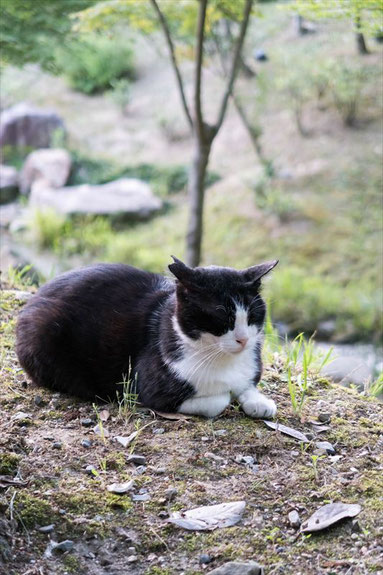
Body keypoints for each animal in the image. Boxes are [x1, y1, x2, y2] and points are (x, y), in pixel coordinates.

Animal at [15, 258, 280, 420]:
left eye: (253, 315)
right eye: (221, 317)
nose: (243, 340)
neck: (222, 360)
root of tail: (36, 296)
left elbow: (247, 384)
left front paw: (259, 402)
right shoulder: (149, 390)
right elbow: (220, 399)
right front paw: (228, 394)